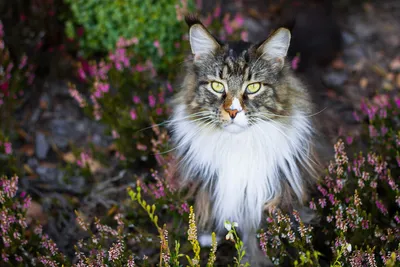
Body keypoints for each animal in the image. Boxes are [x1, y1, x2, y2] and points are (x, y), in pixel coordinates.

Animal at [169, 16, 318, 266]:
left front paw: (256, 257)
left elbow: (254, 230)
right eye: (217, 85)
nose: (233, 111)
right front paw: (209, 235)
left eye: (254, 87)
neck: (237, 146)